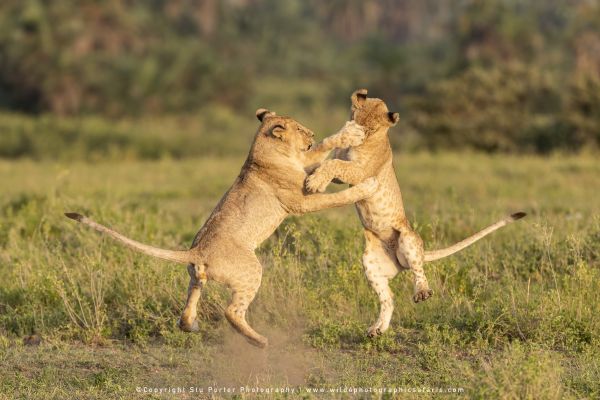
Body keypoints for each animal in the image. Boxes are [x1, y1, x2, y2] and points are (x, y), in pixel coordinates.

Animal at [64, 109, 376, 346]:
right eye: (299, 128)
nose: (310, 133)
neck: (262, 149)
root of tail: (197, 251)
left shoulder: (304, 165)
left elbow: (323, 151)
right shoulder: (300, 199)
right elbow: (329, 178)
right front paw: (363, 185)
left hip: (195, 278)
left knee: (187, 308)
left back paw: (192, 326)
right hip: (251, 270)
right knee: (232, 312)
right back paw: (259, 341)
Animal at [308, 89, 524, 336]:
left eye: (370, 130)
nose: (357, 136)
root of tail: (402, 259)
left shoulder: (362, 172)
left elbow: (335, 164)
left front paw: (314, 182)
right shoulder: (344, 167)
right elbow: (330, 162)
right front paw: (313, 174)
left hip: (408, 240)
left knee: (418, 271)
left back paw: (422, 292)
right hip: (370, 263)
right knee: (389, 298)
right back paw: (377, 330)